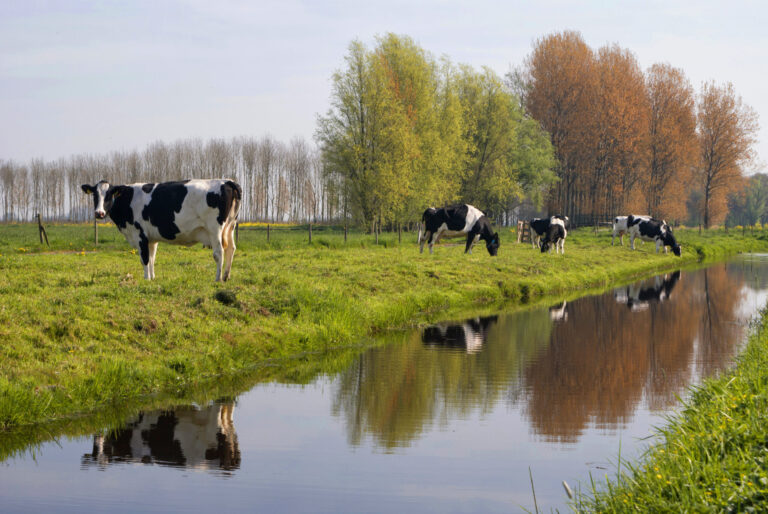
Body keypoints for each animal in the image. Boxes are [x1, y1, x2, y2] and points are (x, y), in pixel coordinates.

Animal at [82, 177, 242, 280]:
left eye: (109, 195)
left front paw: (146, 279)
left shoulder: (140, 234)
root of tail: (227, 181)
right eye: (95, 195)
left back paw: (218, 278)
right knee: (231, 248)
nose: (99, 213)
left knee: (219, 252)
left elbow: (145, 259)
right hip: (230, 226)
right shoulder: (151, 239)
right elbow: (152, 258)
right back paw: (226, 276)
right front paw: (152, 278)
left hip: (214, 229)